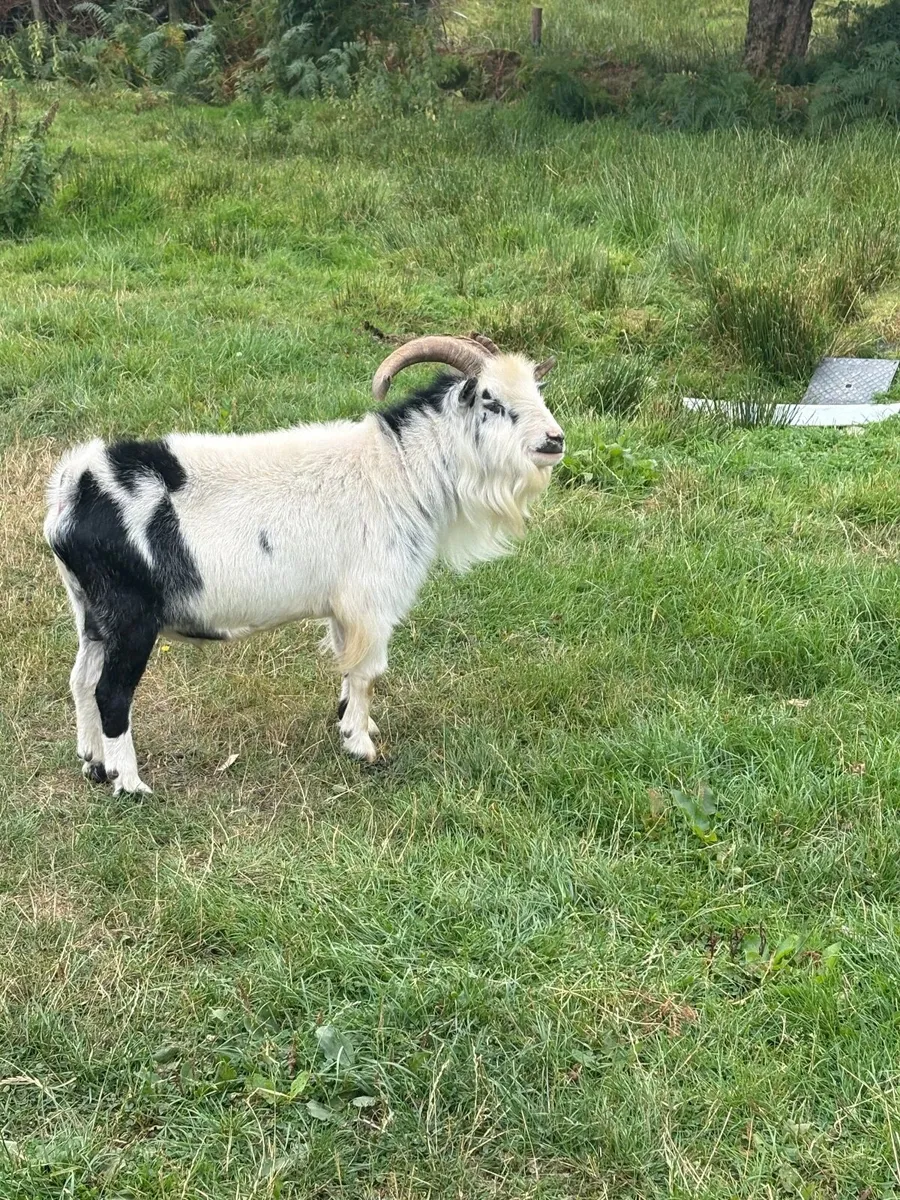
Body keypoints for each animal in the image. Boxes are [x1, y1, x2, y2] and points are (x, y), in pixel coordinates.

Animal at [45, 333, 564, 794]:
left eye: (537, 390)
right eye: (491, 400)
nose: (555, 440)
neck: (399, 472)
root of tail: (75, 488)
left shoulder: (343, 609)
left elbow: (347, 668)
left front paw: (352, 723)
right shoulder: (371, 602)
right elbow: (368, 671)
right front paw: (361, 746)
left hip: (92, 613)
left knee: (81, 681)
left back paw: (94, 764)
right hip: (130, 617)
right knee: (111, 693)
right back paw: (130, 783)